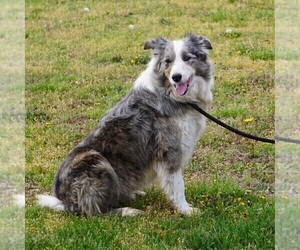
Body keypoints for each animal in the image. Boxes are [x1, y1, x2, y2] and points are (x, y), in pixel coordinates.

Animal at [37, 33, 214, 217]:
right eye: (168, 61)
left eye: (187, 58)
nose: (176, 77)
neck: (169, 93)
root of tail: (64, 201)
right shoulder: (169, 151)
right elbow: (177, 186)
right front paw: (186, 210)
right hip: (96, 160)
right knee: (95, 211)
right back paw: (128, 211)